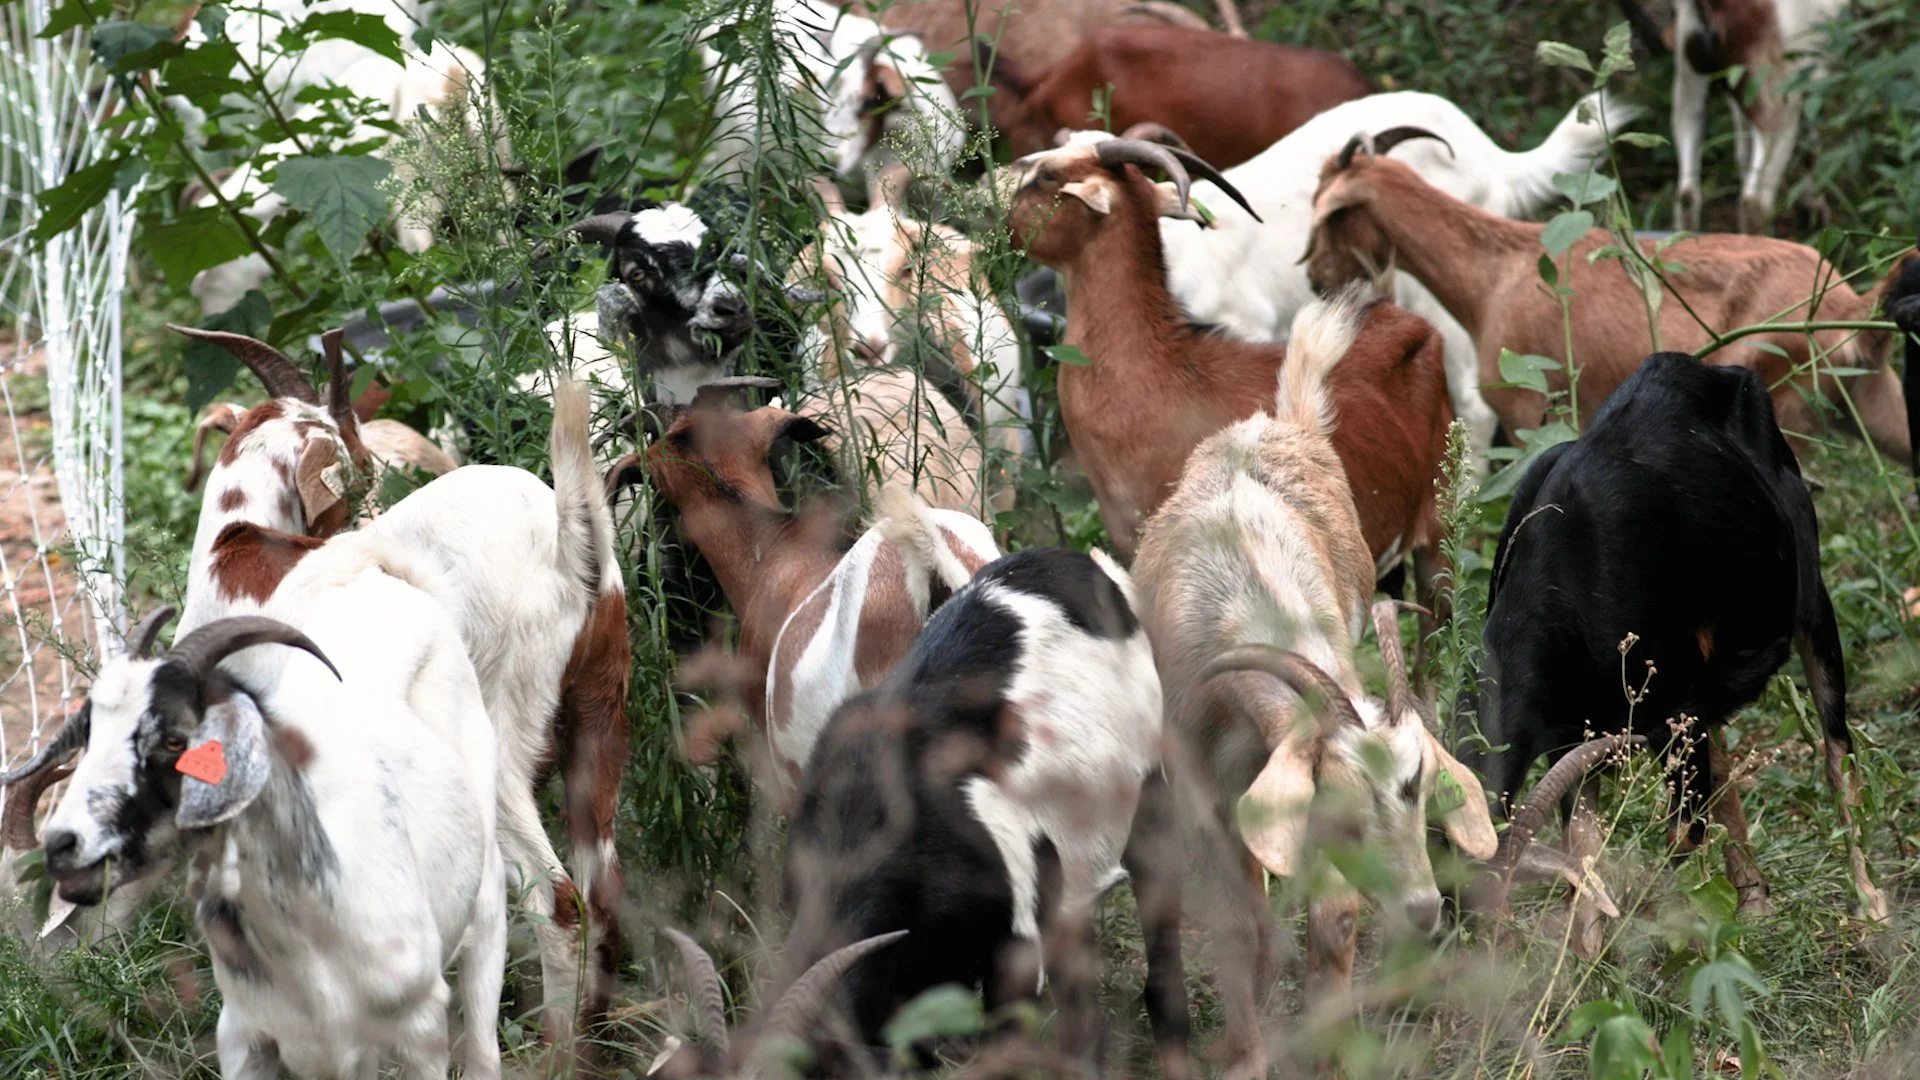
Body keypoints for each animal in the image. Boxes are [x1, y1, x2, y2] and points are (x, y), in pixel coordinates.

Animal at [173, 327, 630, 1039]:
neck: (236, 544)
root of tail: (566, 546)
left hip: (496, 737)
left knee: (559, 904)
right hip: (600, 711)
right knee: (604, 891)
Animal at [1129, 291, 1496, 1078]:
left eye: (1422, 790)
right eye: (1345, 807)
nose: (1424, 910)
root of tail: (1280, 422)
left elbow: (1336, 918)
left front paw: (1329, 1043)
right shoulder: (1205, 795)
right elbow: (1239, 922)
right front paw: (1246, 1052)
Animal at [1302, 127, 1910, 466]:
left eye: (1328, 215)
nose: (1315, 276)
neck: (1495, 271)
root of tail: (1846, 306)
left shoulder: (1525, 410)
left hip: (1787, 412)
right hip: (1866, 400)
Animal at [1469, 351, 1888, 957]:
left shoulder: (1670, 709)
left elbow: (1679, 840)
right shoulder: (1575, 736)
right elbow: (1583, 851)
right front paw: (1587, 964)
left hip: (1810, 598)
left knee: (1837, 754)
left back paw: (1871, 908)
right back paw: (1754, 900)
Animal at [1672, 0, 1846, 233]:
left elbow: (1743, 151)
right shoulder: (1817, 76)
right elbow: (1812, 145)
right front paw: (1814, 211)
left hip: (1690, 76)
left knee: (1687, 194)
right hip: (1776, 90)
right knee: (1756, 201)